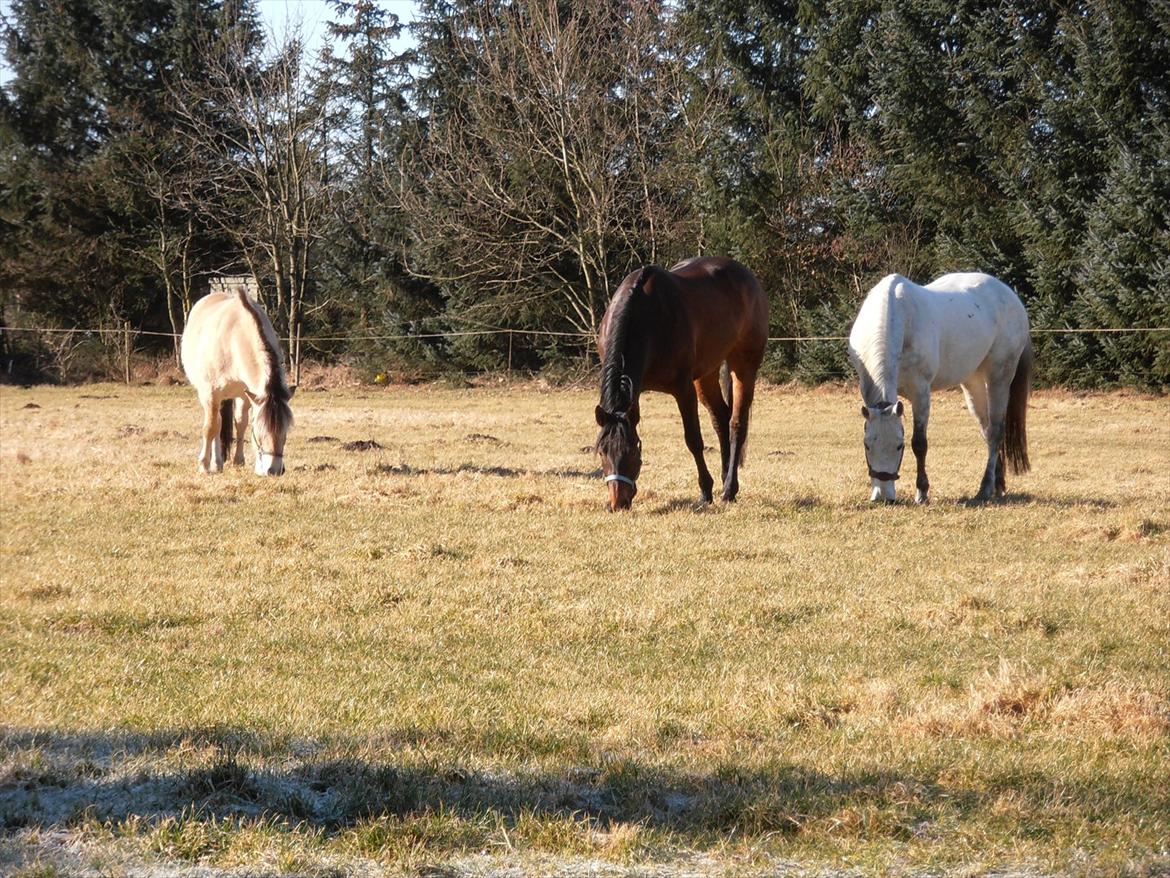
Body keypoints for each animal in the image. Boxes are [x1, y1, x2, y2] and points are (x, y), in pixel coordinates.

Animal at [594, 257, 767, 512]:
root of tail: (748, 276)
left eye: (632, 450)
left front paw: (705, 492)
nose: (618, 503)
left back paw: (729, 489)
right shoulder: (636, 390)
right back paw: (726, 477)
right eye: (602, 452)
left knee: (736, 423)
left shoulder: (683, 389)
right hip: (706, 373)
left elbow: (693, 440)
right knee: (721, 418)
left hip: (744, 365)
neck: (646, 318)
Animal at [851, 275, 1034, 508]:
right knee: (986, 430)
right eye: (867, 445)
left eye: (899, 446)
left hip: (1000, 377)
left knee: (995, 432)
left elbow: (919, 443)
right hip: (973, 382)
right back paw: (997, 484)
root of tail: (1009, 294)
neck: (900, 317)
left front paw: (922, 492)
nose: (884, 497)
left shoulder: (921, 392)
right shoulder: (867, 389)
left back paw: (985, 488)